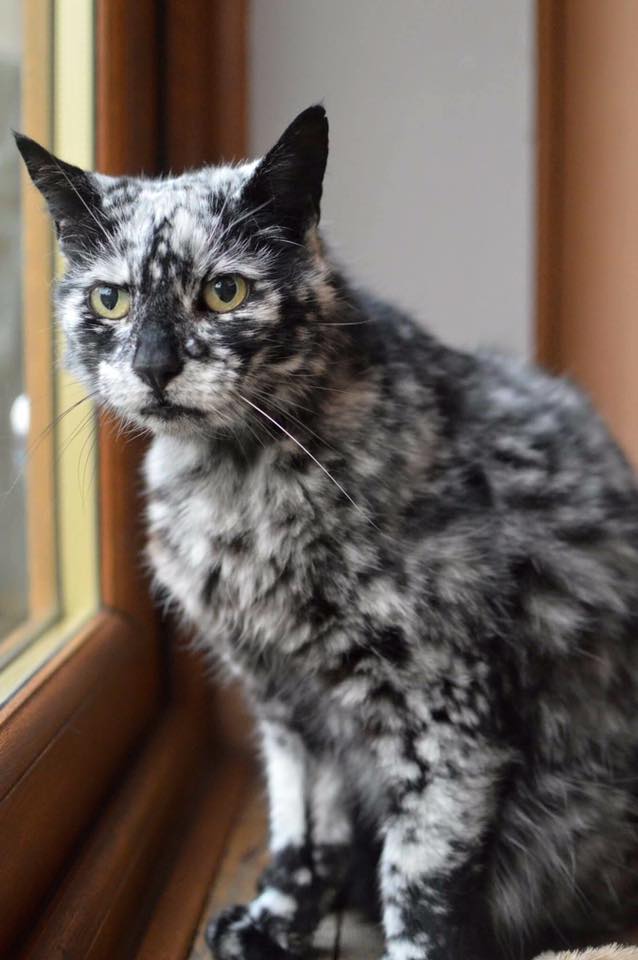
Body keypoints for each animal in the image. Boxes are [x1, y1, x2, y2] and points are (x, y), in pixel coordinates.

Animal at [15, 105, 638, 960]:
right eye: (110, 301)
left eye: (225, 292)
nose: (154, 365)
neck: (236, 495)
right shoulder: (287, 708)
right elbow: (302, 832)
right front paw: (274, 923)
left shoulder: (446, 717)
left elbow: (422, 881)